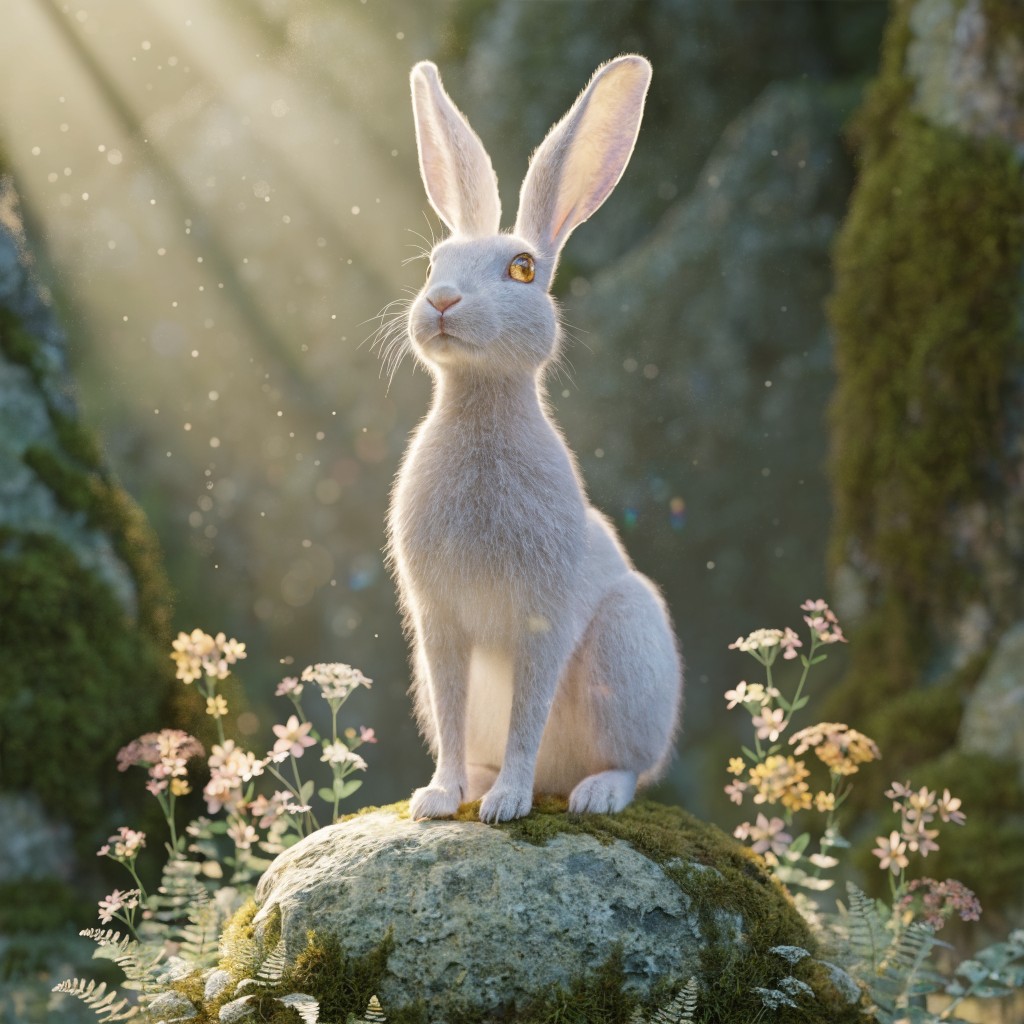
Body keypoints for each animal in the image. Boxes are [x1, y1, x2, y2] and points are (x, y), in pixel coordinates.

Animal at [385, 54, 683, 824]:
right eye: (433, 263)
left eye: (522, 269)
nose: (441, 302)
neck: (479, 402)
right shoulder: (439, 626)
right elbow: (454, 716)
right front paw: (438, 798)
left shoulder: (542, 620)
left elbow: (530, 711)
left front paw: (507, 808)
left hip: (629, 643)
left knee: (630, 763)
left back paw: (591, 793)